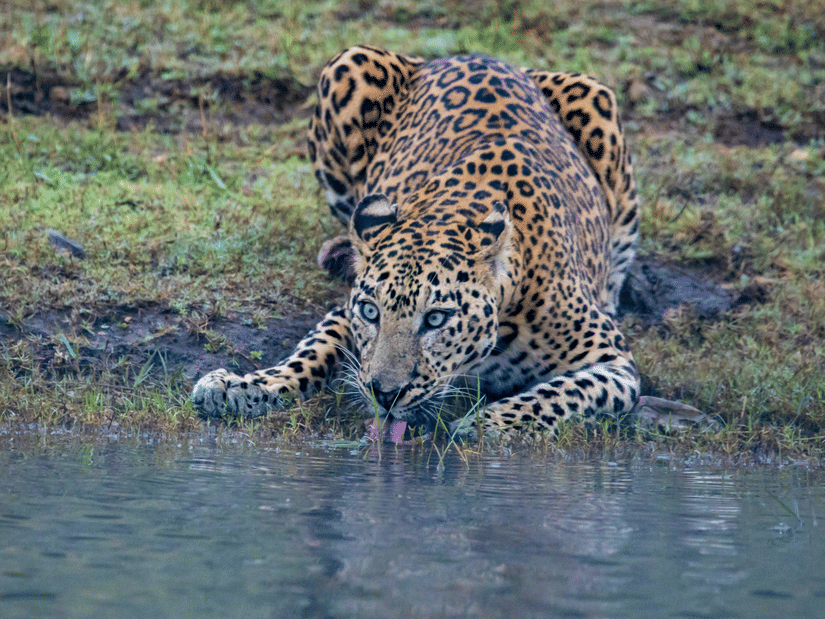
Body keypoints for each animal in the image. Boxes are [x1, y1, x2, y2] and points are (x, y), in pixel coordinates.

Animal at [191, 45, 641, 440]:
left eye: (437, 319)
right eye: (371, 312)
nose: (385, 394)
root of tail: (473, 54)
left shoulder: (614, 363)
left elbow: (561, 394)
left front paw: (485, 424)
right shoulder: (344, 311)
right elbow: (309, 354)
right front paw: (241, 386)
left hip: (599, 105)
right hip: (347, 67)